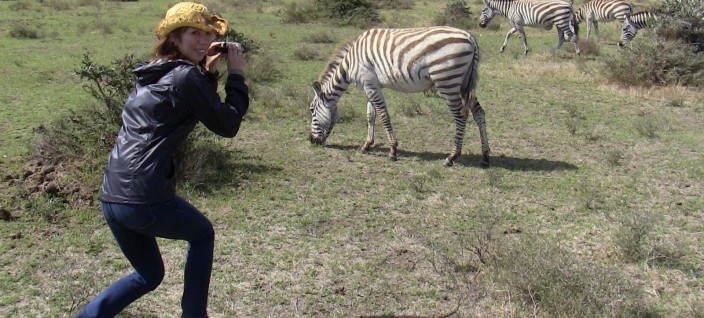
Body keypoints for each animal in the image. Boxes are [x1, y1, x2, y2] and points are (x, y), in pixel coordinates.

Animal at [308, 26, 490, 168]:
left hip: (447, 81)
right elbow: (370, 115)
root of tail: (469, 37)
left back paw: (452, 157)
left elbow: (383, 115)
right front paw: (367, 145)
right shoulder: (371, 85)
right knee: (479, 113)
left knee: (461, 115)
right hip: (464, 83)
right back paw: (485, 156)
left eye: (311, 110)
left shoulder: (369, 83)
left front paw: (393, 151)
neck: (350, 63)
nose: (311, 140)